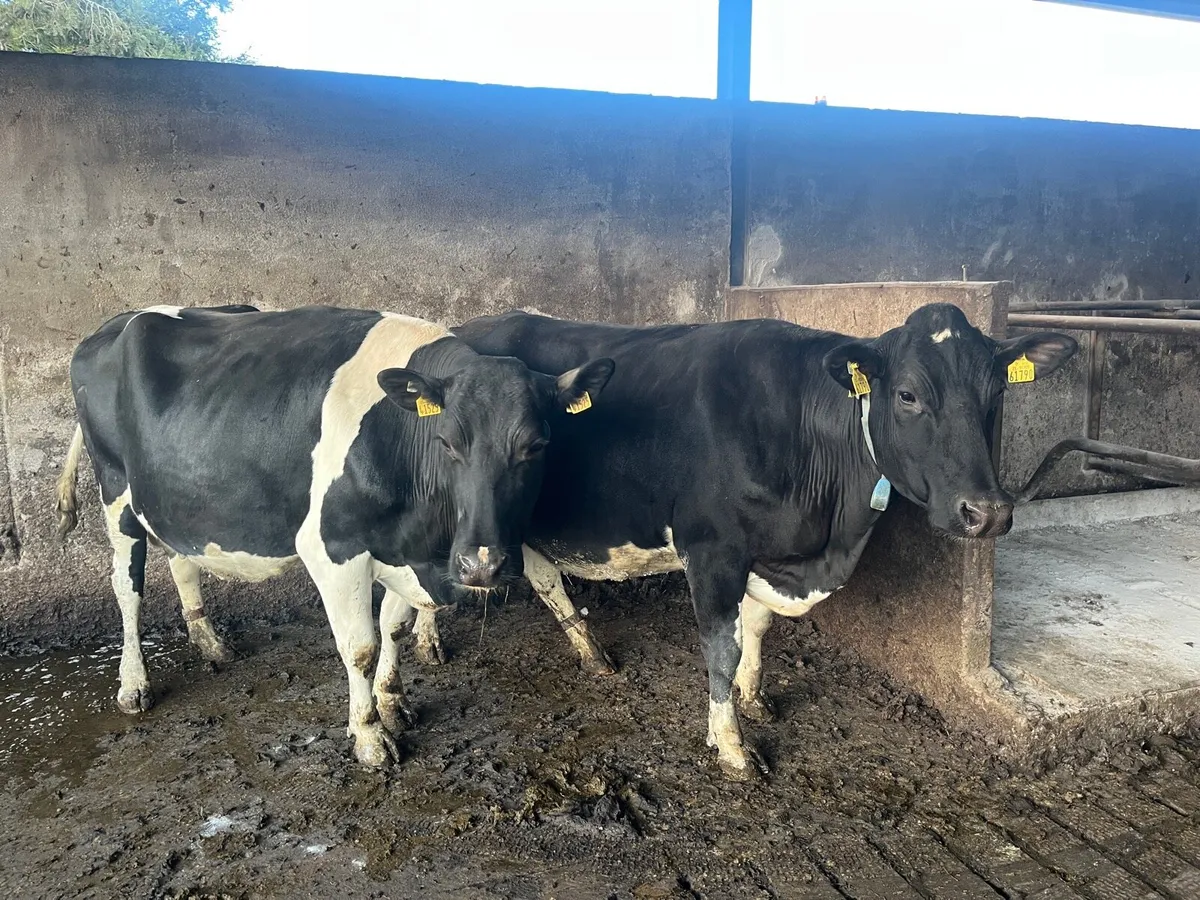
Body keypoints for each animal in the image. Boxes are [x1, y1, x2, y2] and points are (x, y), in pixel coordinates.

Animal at [55, 304, 614, 768]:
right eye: (447, 442)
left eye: (537, 445)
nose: (482, 565)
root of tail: (115, 322)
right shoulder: (333, 549)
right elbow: (360, 646)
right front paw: (369, 735)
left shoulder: (400, 545)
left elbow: (394, 627)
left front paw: (393, 701)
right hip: (116, 492)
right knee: (127, 590)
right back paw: (134, 684)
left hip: (173, 498)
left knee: (181, 560)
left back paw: (211, 644)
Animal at [396, 303, 1074, 780]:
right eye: (907, 394)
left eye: (996, 395)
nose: (987, 512)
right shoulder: (713, 550)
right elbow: (719, 648)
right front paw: (732, 748)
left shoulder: (765, 552)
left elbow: (757, 627)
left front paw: (753, 696)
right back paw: (428, 643)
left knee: (539, 576)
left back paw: (589, 651)